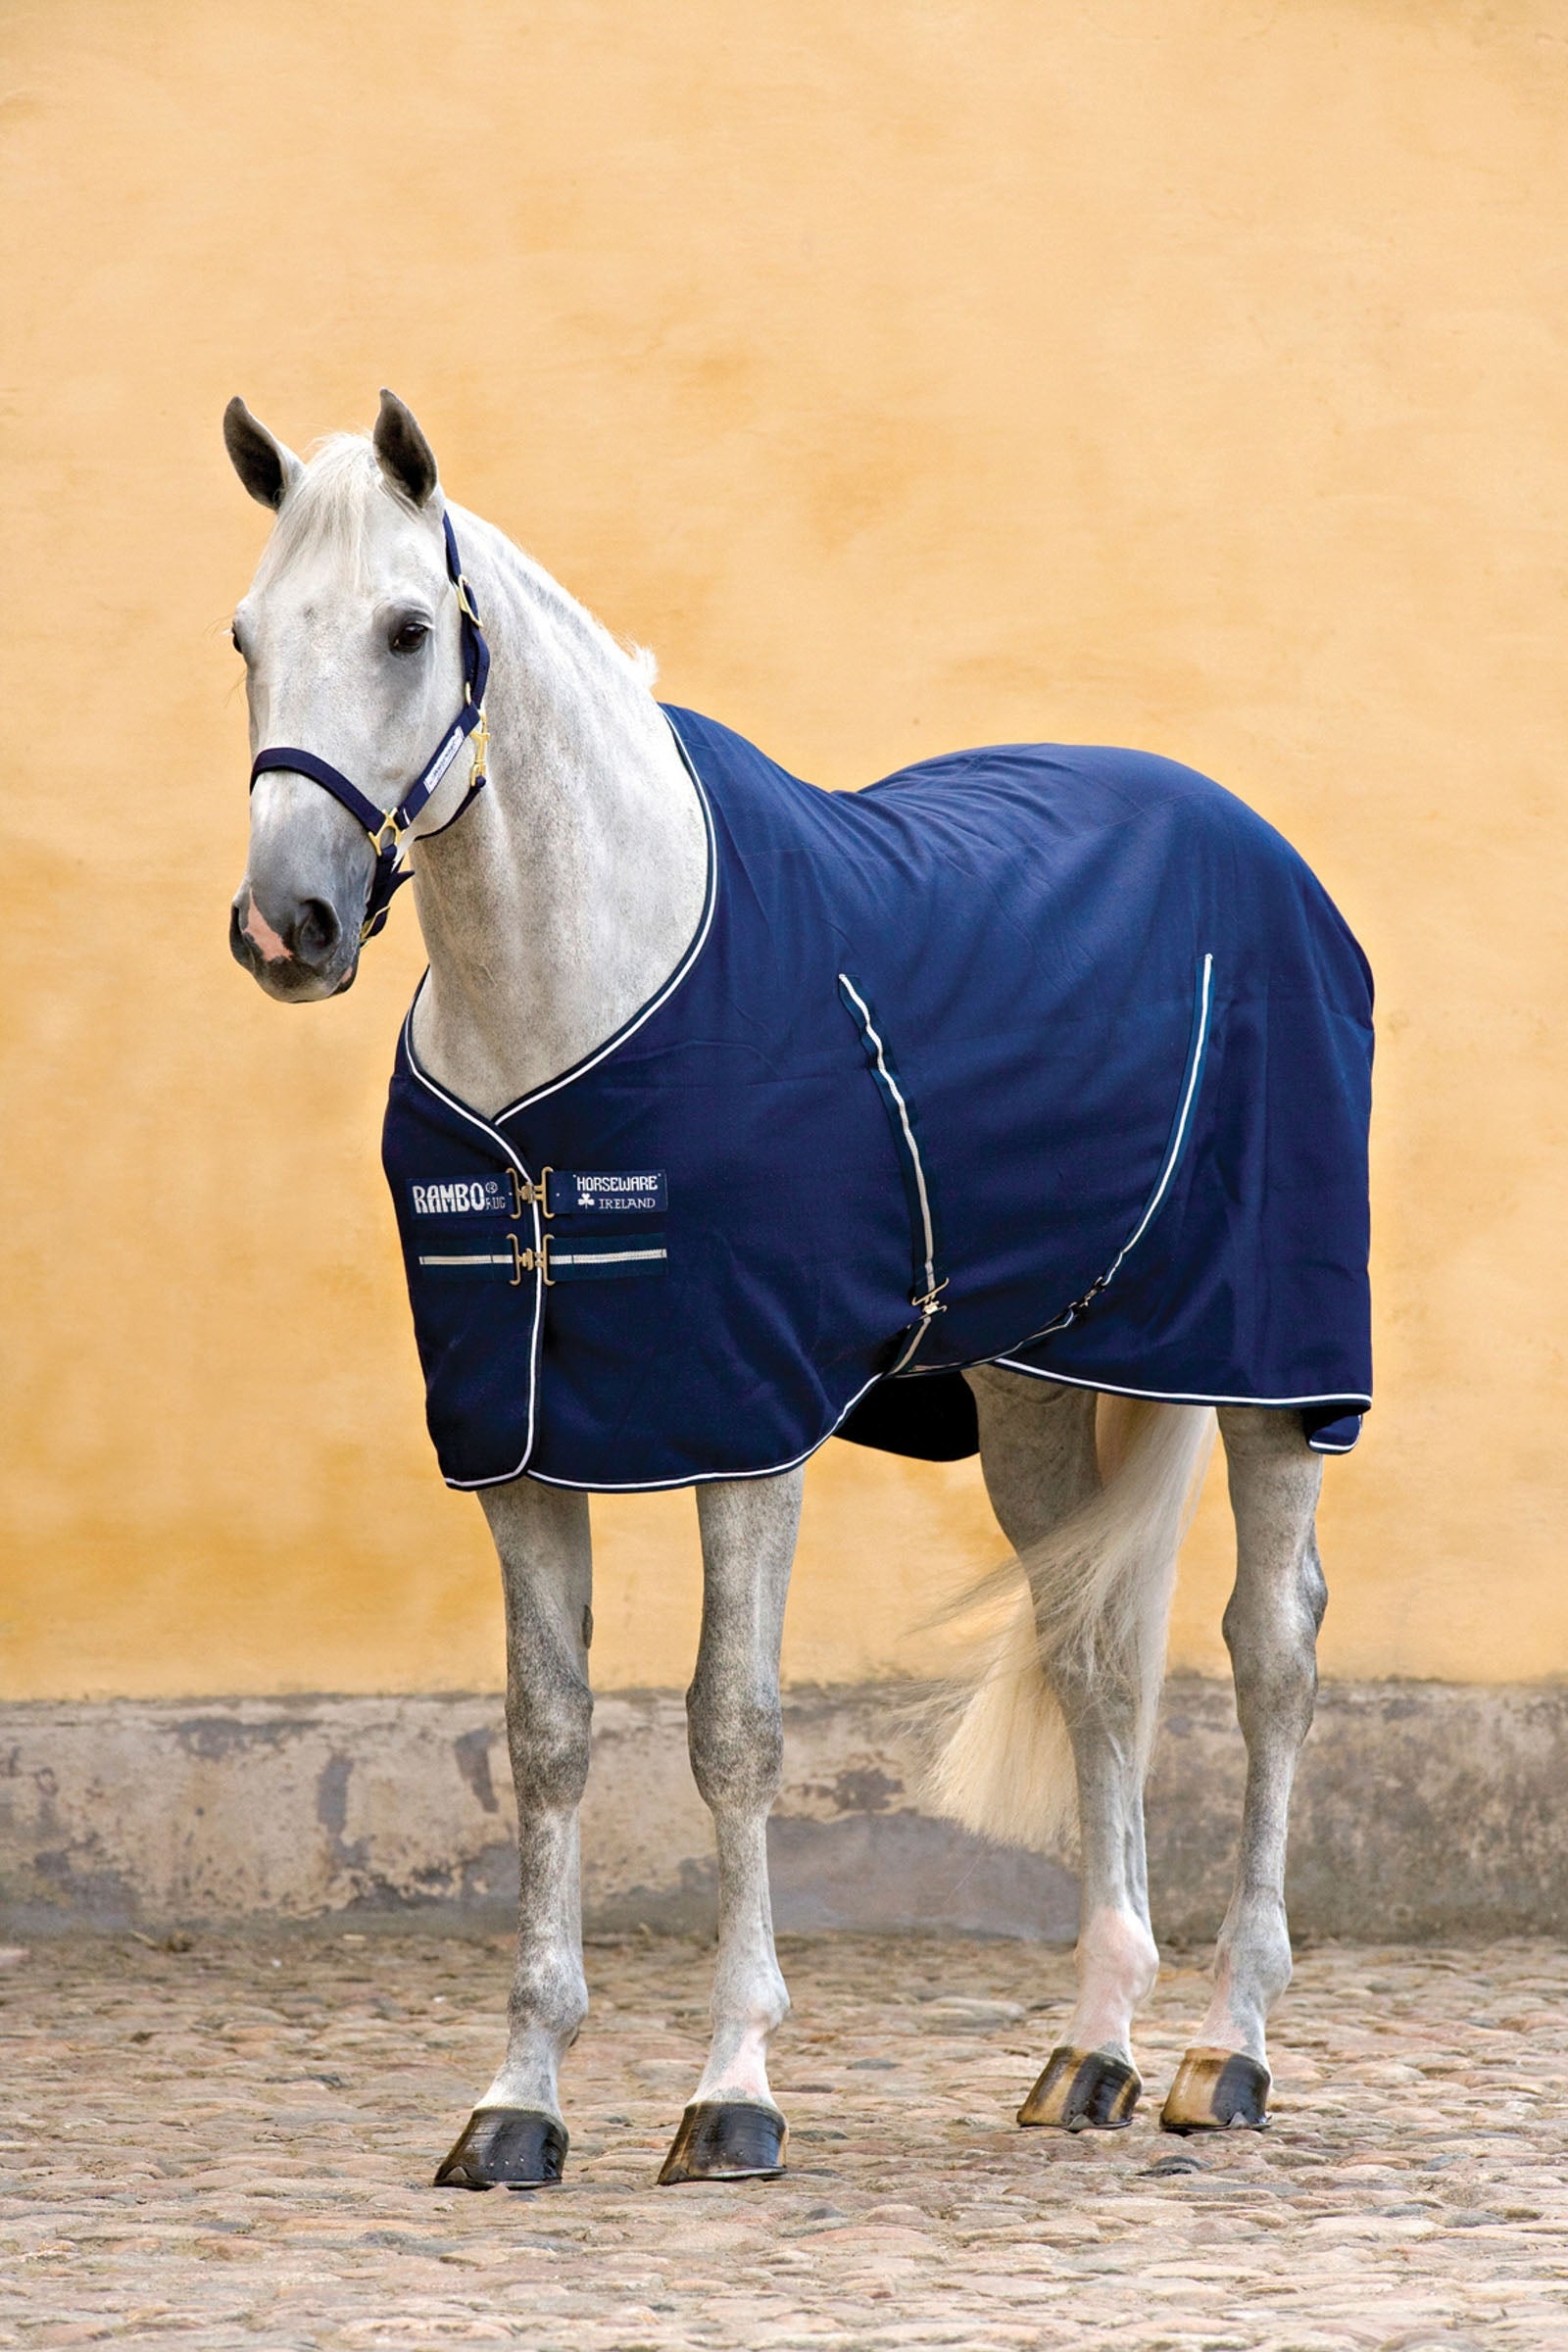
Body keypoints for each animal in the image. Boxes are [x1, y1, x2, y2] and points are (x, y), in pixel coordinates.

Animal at [223, 390, 1372, 2189]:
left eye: (408, 628)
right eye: (246, 638)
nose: (290, 924)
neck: (573, 1003)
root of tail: (1247, 835)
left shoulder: (746, 1419)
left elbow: (732, 1727)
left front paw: (734, 2086)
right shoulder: (516, 1441)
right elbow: (545, 1737)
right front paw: (518, 2104)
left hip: (1271, 1369)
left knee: (1272, 1654)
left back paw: (1227, 2049)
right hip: (1039, 1390)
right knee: (1096, 1654)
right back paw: (1093, 2050)